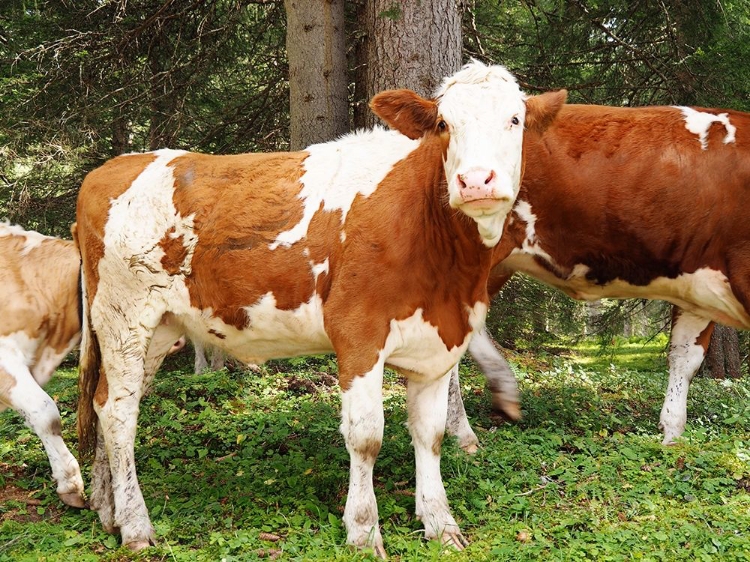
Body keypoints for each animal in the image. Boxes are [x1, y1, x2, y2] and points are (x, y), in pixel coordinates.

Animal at [76, 62, 568, 556]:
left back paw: (106, 510)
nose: (476, 181)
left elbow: (431, 435)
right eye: (445, 125)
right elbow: (366, 436)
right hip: (123, 316)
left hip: (156, 328)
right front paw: (364, 531)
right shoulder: (357, 332)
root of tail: (109, 168)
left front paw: (441, 524)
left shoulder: (440, 341)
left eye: (515, 120)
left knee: (105, 402)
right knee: (118, 414)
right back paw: (136, 527)